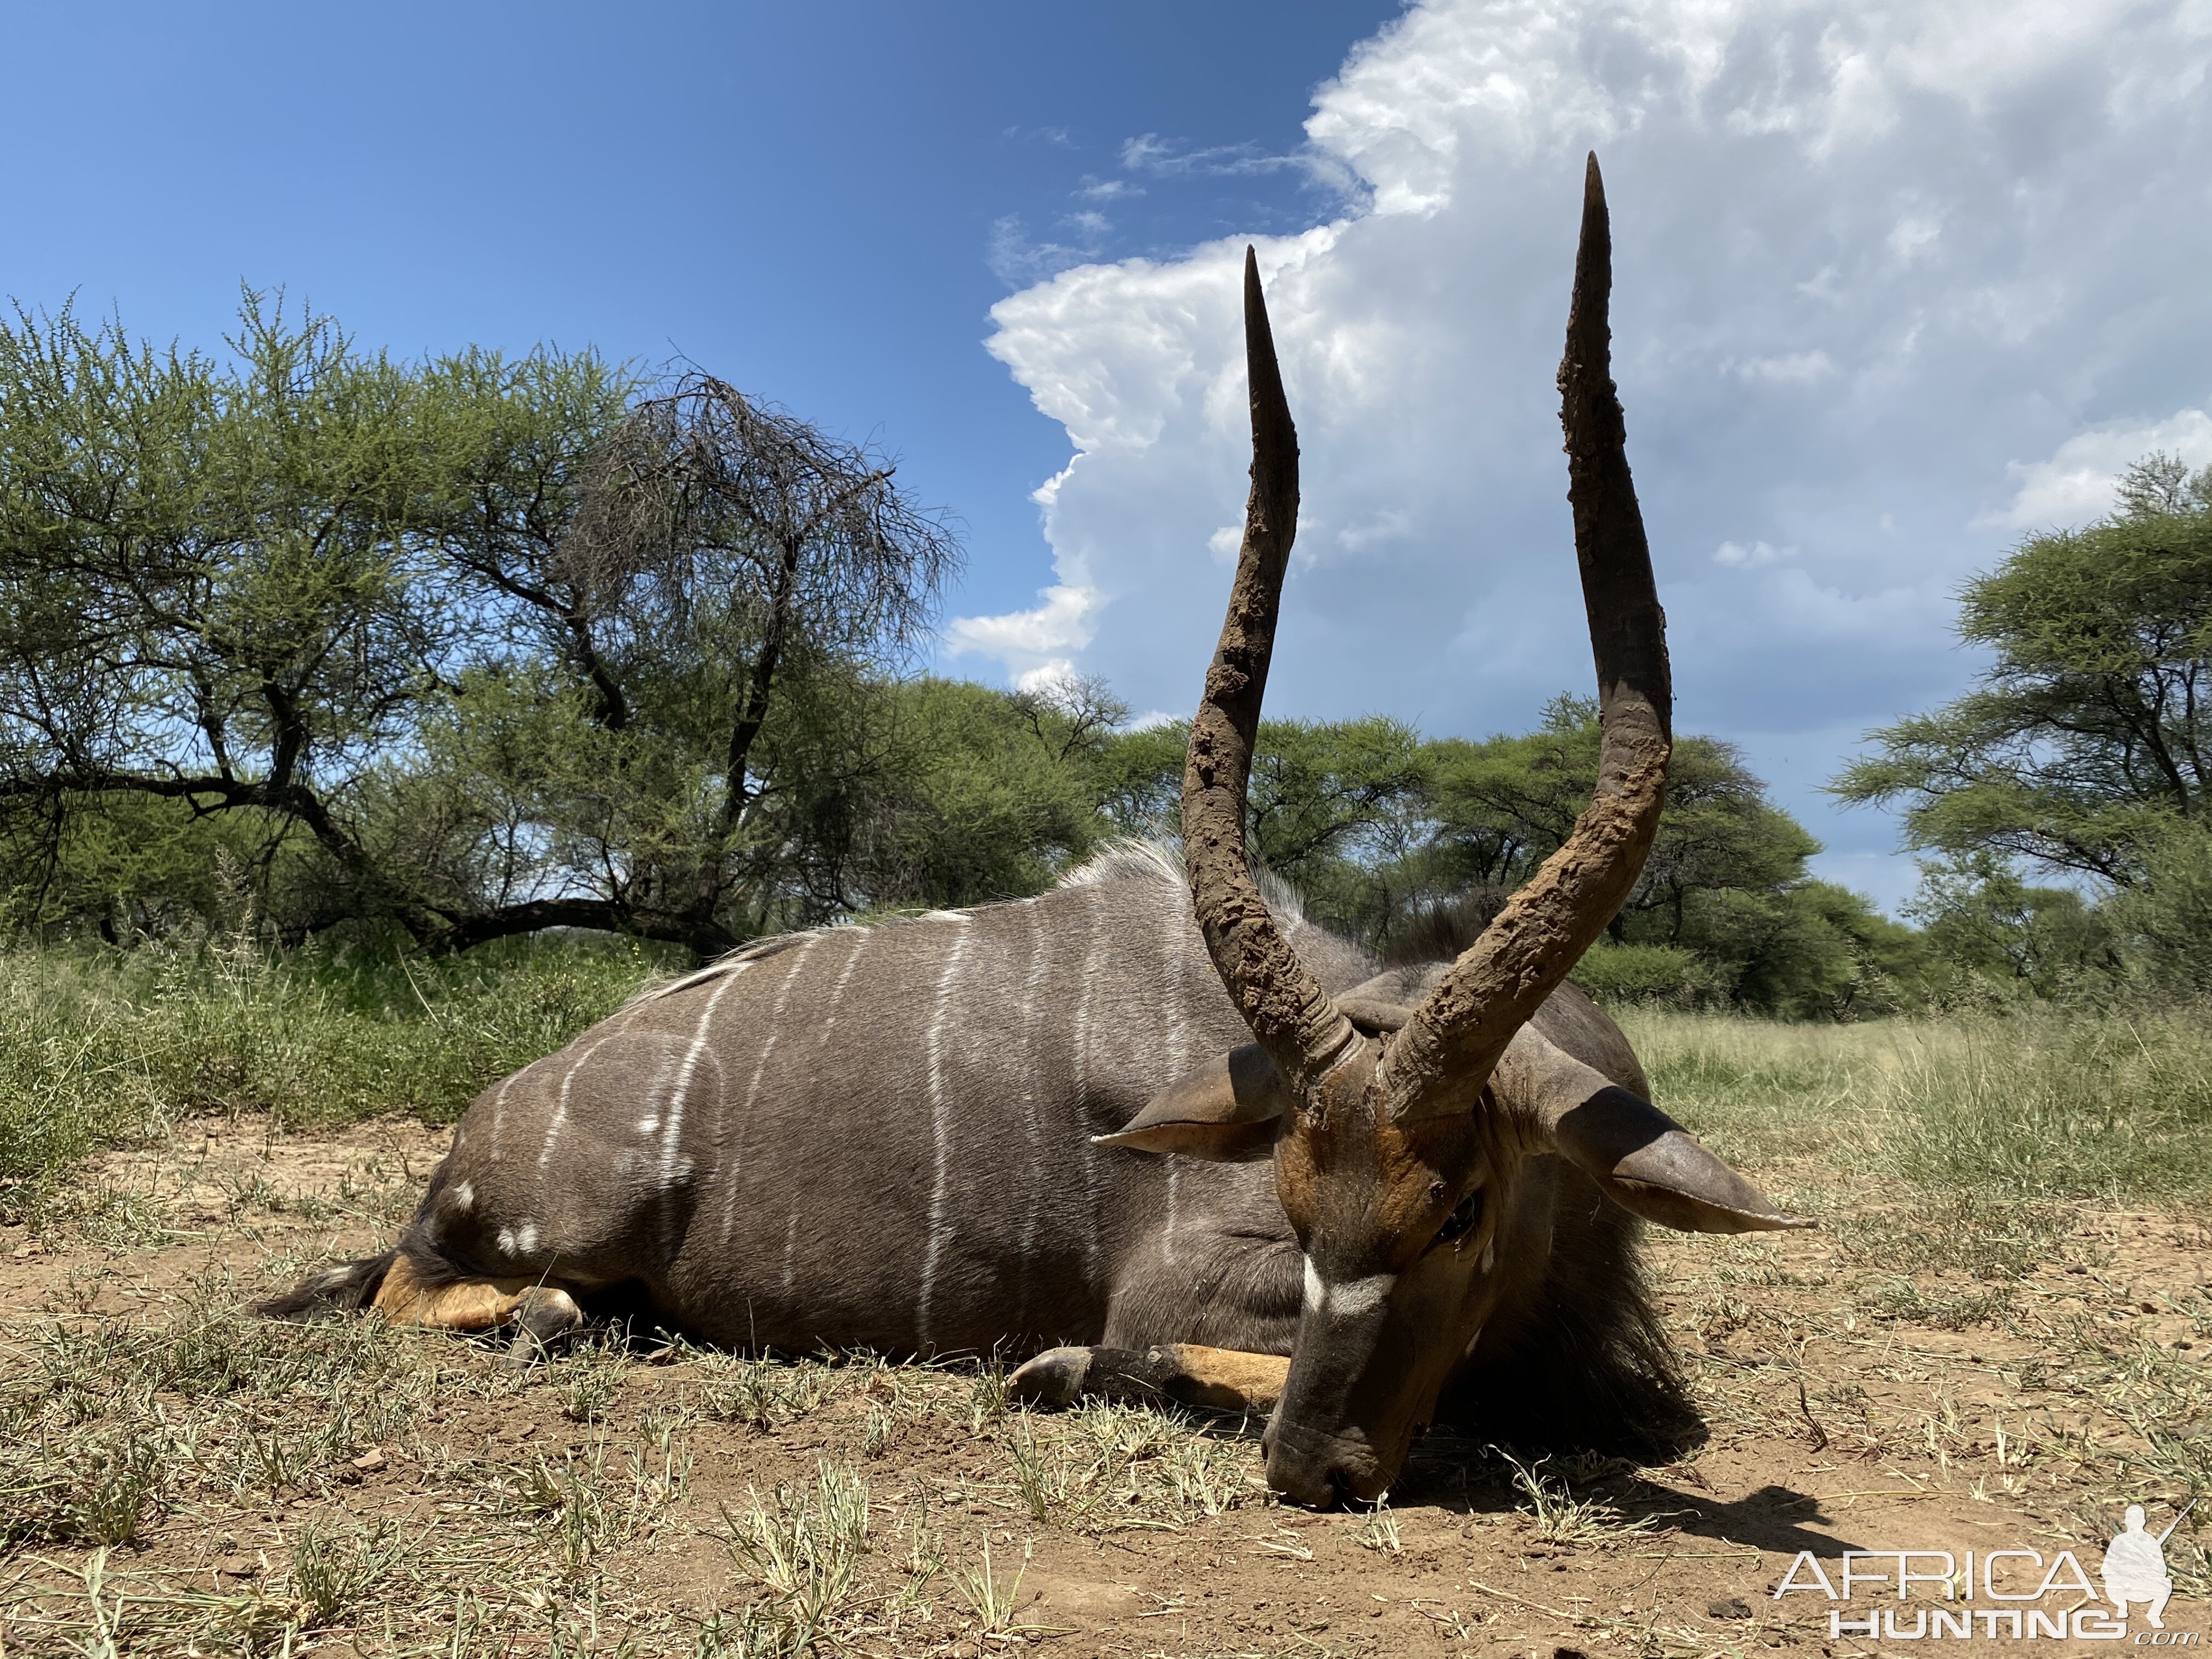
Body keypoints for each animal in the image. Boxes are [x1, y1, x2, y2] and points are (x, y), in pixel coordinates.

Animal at [267, 159, 1805, 1522]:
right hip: (533, 1238)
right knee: (448, 1297)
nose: (1317, 1472)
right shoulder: (1189, 1286)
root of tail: (484, 1124)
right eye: (1296, 1199)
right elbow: (1156, 1350)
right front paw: (1056, 1367)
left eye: (1463, 1208)